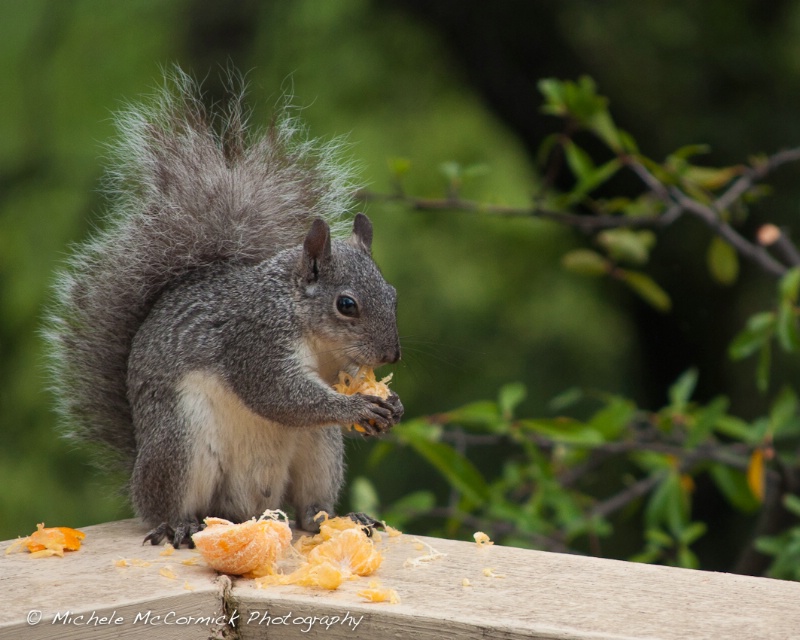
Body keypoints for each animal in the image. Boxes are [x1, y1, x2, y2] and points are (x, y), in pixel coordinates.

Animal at [47, 72, 404, 548]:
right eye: (346, 305)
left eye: (393, 294)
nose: (391, 356)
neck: (310, 329)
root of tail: (246, 510)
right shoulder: (253, 340)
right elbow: (279, 394)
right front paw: (358, 408)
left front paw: (393, 404)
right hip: (181, 443)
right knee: (171, 505)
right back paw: (178, 524)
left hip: (320, 450)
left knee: (309, 511)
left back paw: (340, 519)